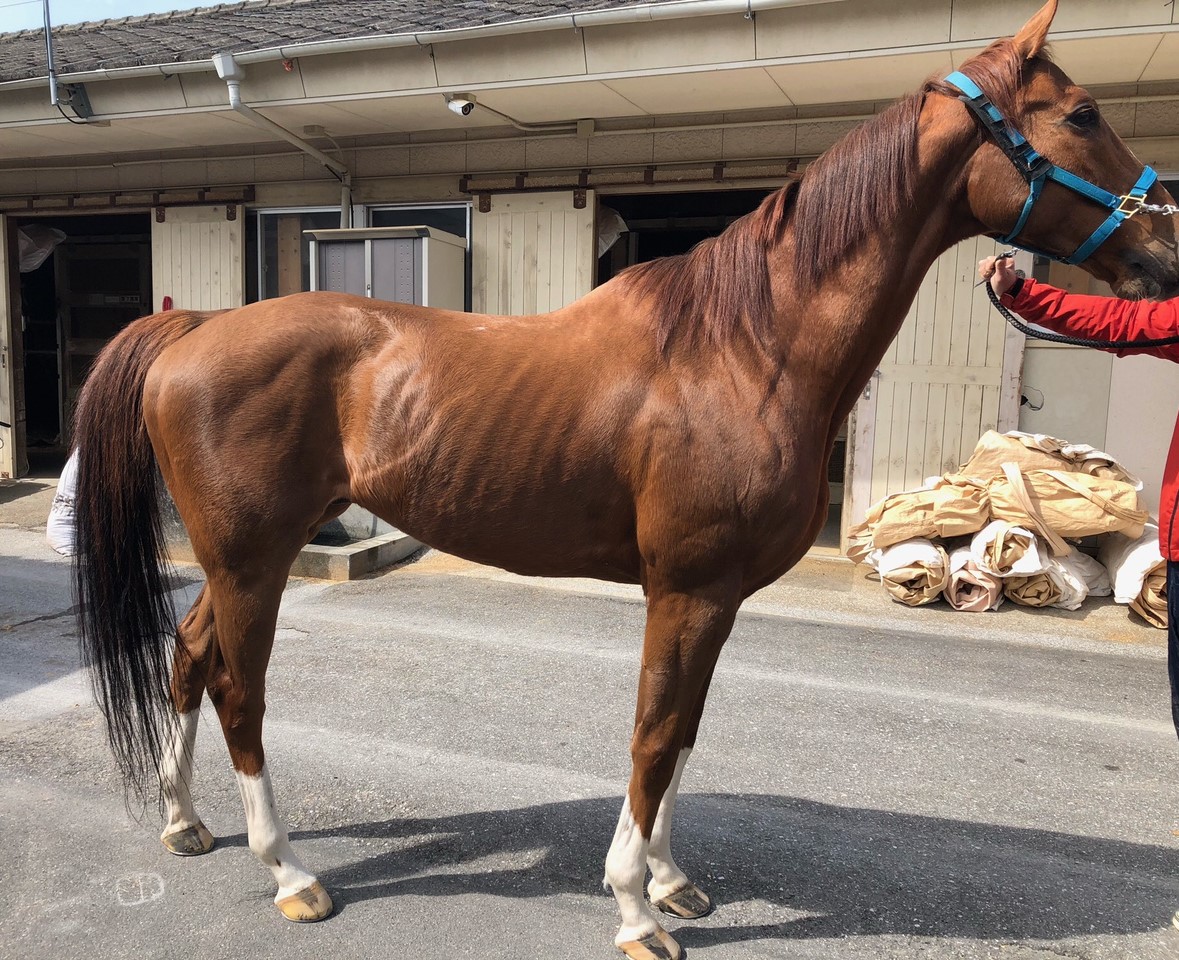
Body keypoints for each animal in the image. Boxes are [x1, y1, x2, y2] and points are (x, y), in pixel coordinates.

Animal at [71, 3, 1179, 957]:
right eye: (1081, 114)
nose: (1165, 250)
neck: (745, 347)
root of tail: (195, 327)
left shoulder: (719, 599)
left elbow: (683, 736)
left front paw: (673, 880)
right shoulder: (683, 593)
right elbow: (650, 739)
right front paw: (637, 912)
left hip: (245, 561)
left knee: (184, 657)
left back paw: (185, 822)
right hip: (253, 561)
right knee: (237, 690)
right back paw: (291, 874)